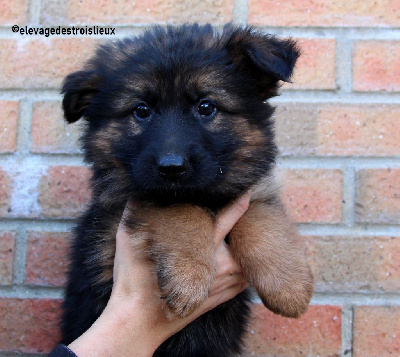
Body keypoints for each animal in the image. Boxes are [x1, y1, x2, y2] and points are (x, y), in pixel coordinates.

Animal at [61, 23, 314, 354]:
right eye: (141, 110)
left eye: (206, 107)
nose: (171, 167)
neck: (205, 196)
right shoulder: (136, 203)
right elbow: (184, 213)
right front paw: (188, 277)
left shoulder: (248, 192)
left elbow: (263, 219)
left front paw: (288, 286)